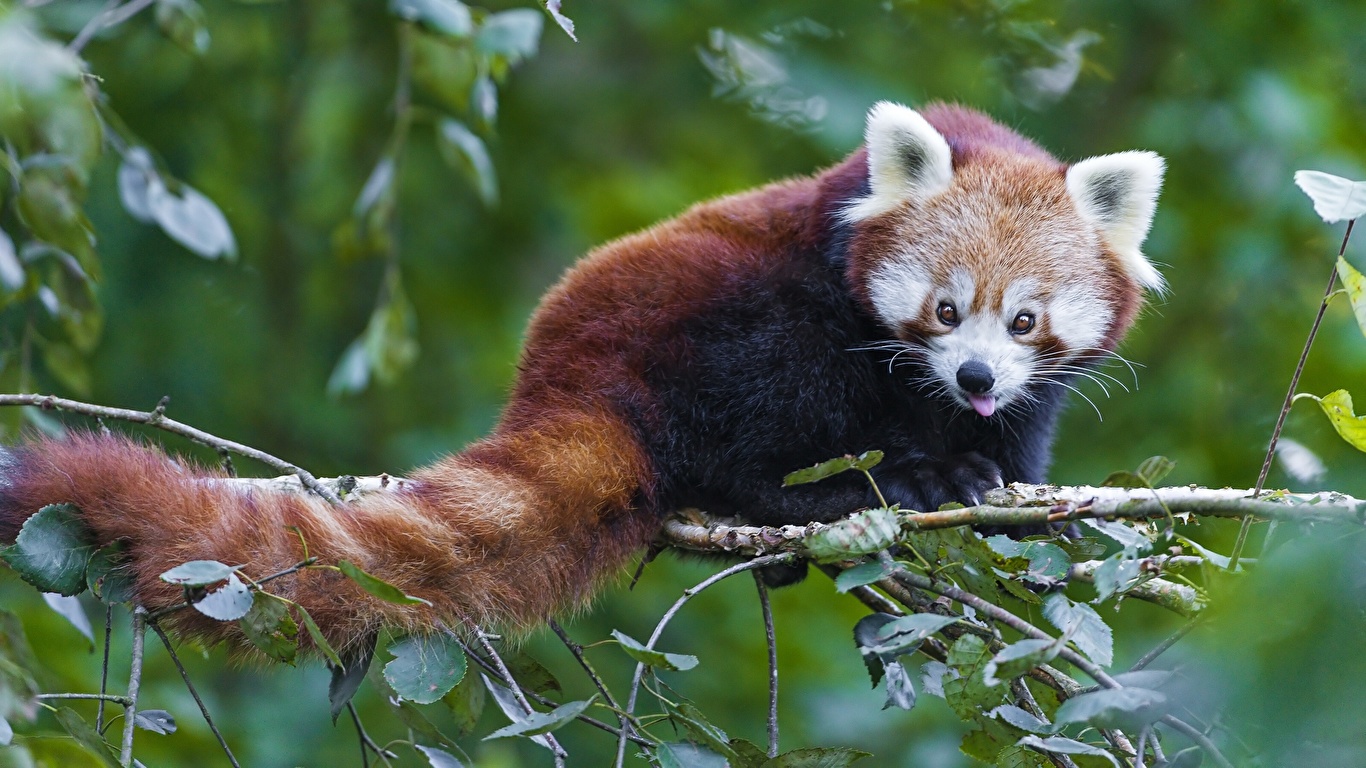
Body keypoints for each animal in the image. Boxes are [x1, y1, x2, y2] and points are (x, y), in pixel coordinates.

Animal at [0, 101, 1163, 645]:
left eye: (1024, 320)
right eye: (945, 310)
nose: (971, 377)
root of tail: (563, 373)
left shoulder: (1038, 387)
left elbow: (1023, 435)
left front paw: (988, 479)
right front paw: (925, 470)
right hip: (710, 321)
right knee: (756, 419)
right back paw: (825, 496)